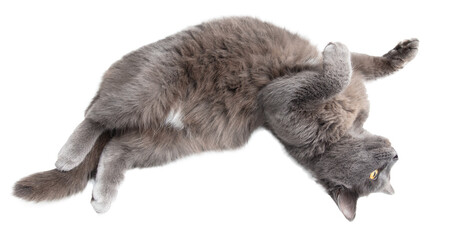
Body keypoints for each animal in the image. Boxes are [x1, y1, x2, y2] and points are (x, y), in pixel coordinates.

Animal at [13, 16, 416, 221]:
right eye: (376, 175)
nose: (397, 155)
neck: (347, 126)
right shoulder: (286, 94)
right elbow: (356, 65)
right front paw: (391, 52)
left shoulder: (279, 102)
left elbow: (346, 71)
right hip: (151, 84)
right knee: (97, 117)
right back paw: (68, 157)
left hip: (171, 141)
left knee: (115, 147)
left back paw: (101, 196)